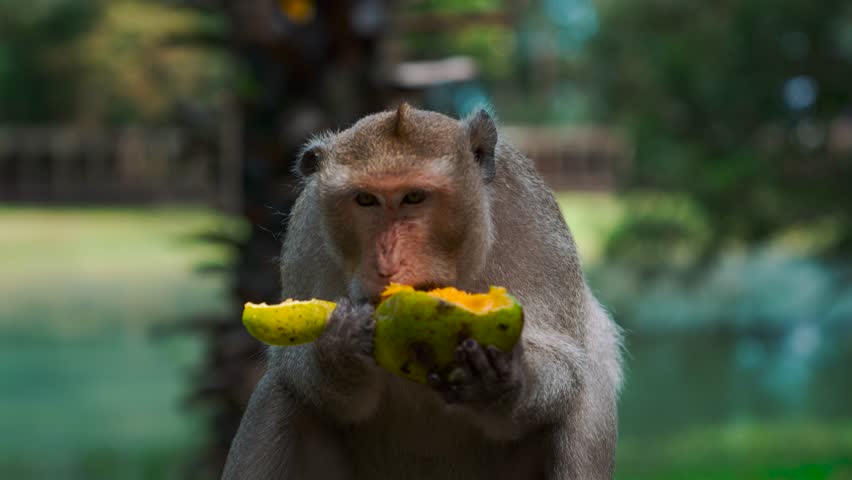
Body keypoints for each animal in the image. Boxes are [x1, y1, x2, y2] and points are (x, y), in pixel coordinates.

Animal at [222, 103, 623, 480]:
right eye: (365, 200)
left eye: (414, 197)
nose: (388, 261)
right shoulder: (307, 232)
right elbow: (297, 370)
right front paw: (339, 349)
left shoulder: (532, 217)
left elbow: (566, 367)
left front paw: (500, 380)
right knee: (277, 395)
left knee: (588, 401)